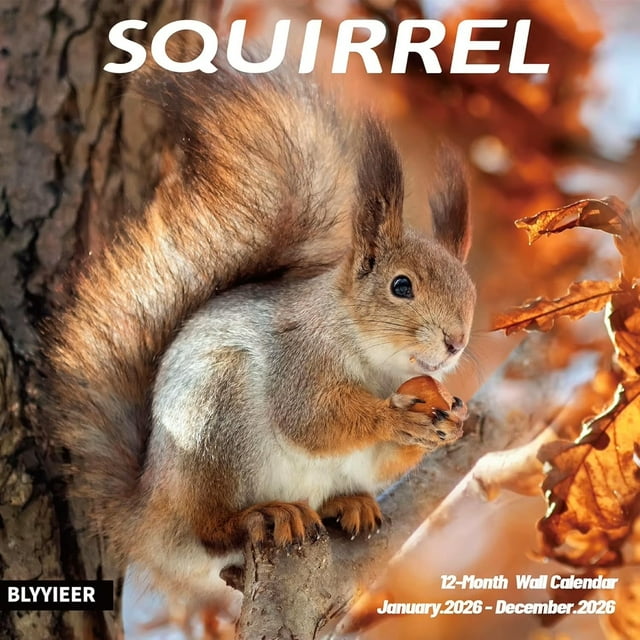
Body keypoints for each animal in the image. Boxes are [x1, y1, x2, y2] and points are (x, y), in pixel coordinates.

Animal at [46, 54, 476, 607]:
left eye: (470, 289)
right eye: (401, 286)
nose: (456, 342)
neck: (378, 364)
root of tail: (149, 521)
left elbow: (381, 458)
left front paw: (451, 423)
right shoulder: (299, 356)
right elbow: (310, 420)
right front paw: (394, 416)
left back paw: (346, 504)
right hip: (217, 421)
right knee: (211, 532)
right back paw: (264, 514)